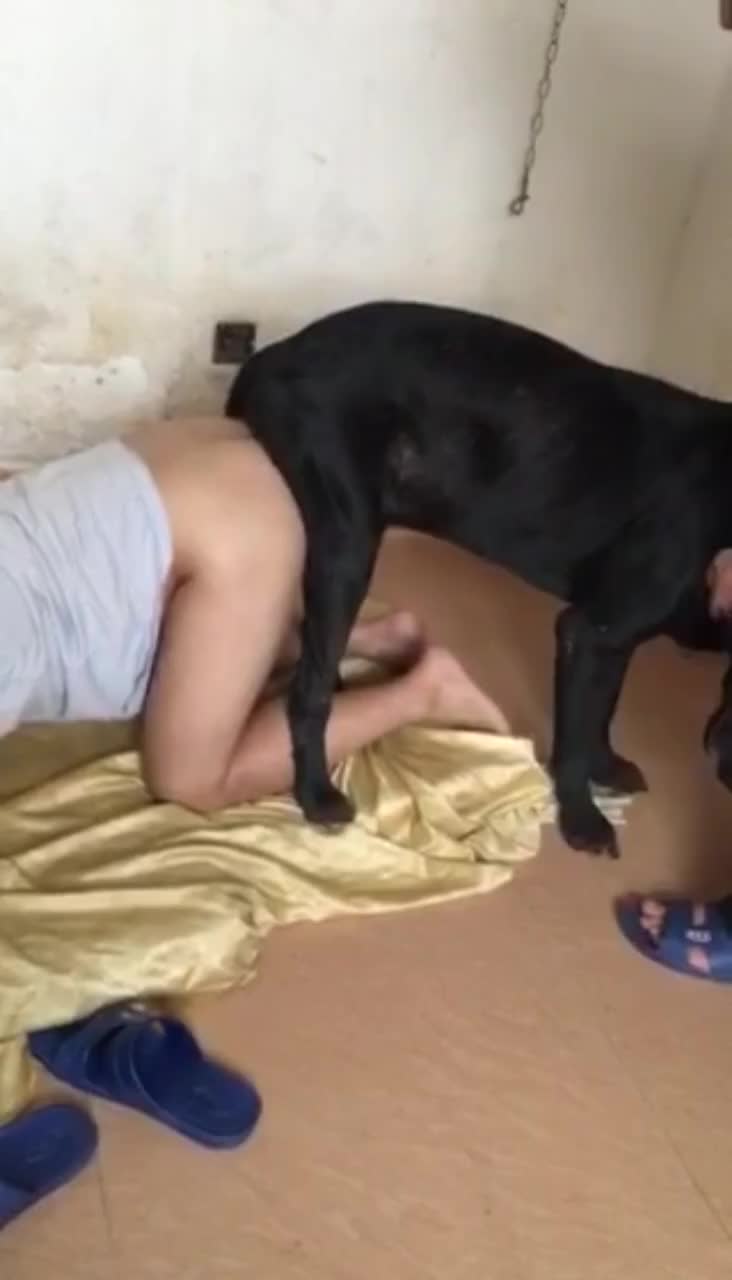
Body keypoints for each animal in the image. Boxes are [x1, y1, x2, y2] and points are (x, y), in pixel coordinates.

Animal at [226, 300, 732, 857]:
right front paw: (581, 818)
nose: (718, 762)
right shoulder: (592, 631)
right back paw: (316, 793)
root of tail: (276, 353)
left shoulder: (616, 638)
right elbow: (577, 734)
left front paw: (607, 767)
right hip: (349, 539)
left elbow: (603, 710)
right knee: (309, 691)